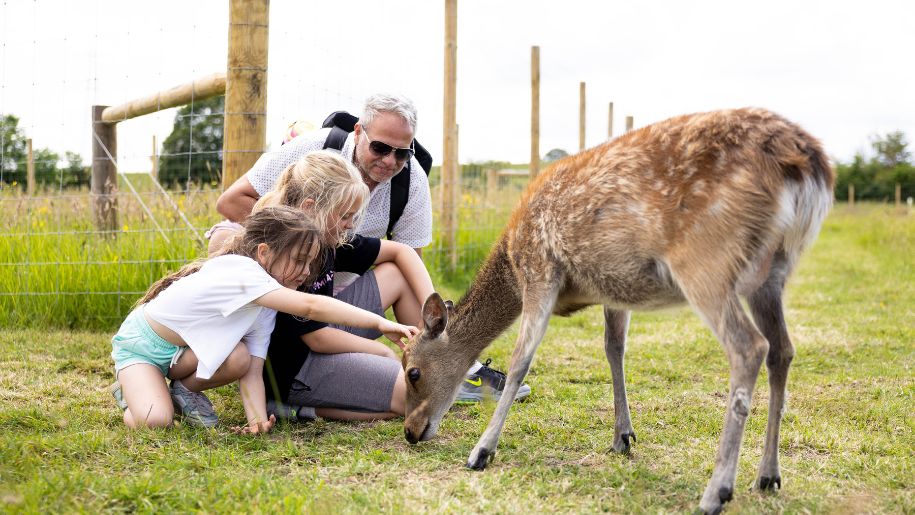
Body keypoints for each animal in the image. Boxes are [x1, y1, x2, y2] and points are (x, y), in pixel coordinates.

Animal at [401, 108, 833, 514]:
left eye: (413, 372)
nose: (410, 430)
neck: (511, 260)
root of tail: (811, 169)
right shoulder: (612, 291)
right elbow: (614, 349)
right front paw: (622, 437)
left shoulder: (540, 269)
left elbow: (522, 359)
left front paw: (481, 451)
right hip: (774, 271)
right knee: (783, 350)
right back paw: (767, 475)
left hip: (707, 259)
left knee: (749, 347)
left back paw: (716, 492)